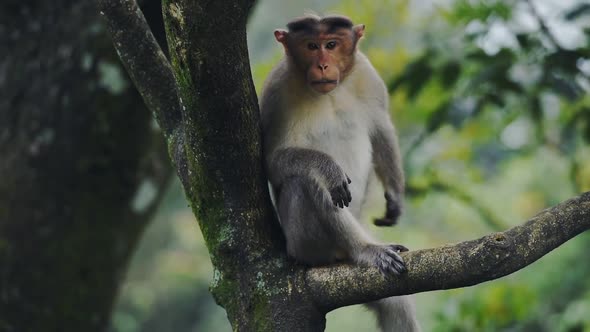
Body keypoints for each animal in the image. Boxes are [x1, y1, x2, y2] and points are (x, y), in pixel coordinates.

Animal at [262, 14, 420, 330]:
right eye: (311, 46)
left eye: (332, 44)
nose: (323, 65)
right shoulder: (277, 90)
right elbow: (273, 161)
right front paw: (328, 168)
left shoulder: (367, 76)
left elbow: (381, 128)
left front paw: (395, 199)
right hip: (303, 244)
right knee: (306, 182)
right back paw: (364, 250)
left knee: (397, 303)